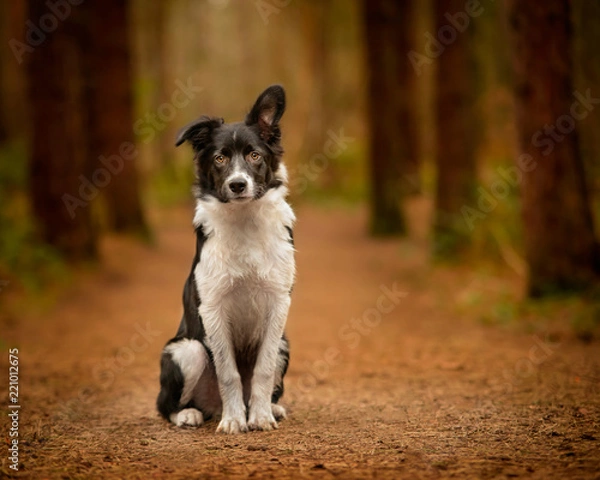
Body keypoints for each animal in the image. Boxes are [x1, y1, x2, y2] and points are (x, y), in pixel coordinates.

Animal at [156, 86, 294, 436]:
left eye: (255, 155)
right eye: (219, 158)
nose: (237, 184)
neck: (244, 221)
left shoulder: (278, 302)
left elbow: (262, 369)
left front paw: (260, 416)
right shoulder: (213, 307)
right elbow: (228, 372)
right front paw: (234, 420)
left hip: (284, 343)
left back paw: (270, 406)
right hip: (186, 350)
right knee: (165, 405)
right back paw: (190, 414)